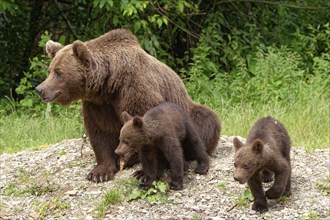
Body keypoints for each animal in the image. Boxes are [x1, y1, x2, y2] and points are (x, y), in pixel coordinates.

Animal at [36, 28, 220, 183]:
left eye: (59, 72)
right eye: (50, 70)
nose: (40, 89)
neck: (109, 84)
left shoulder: (135, 90)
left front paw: (145, 172)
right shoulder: (97, 104)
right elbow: (99, 132)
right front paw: (99, 173)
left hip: (190, 112)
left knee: (207, 121)